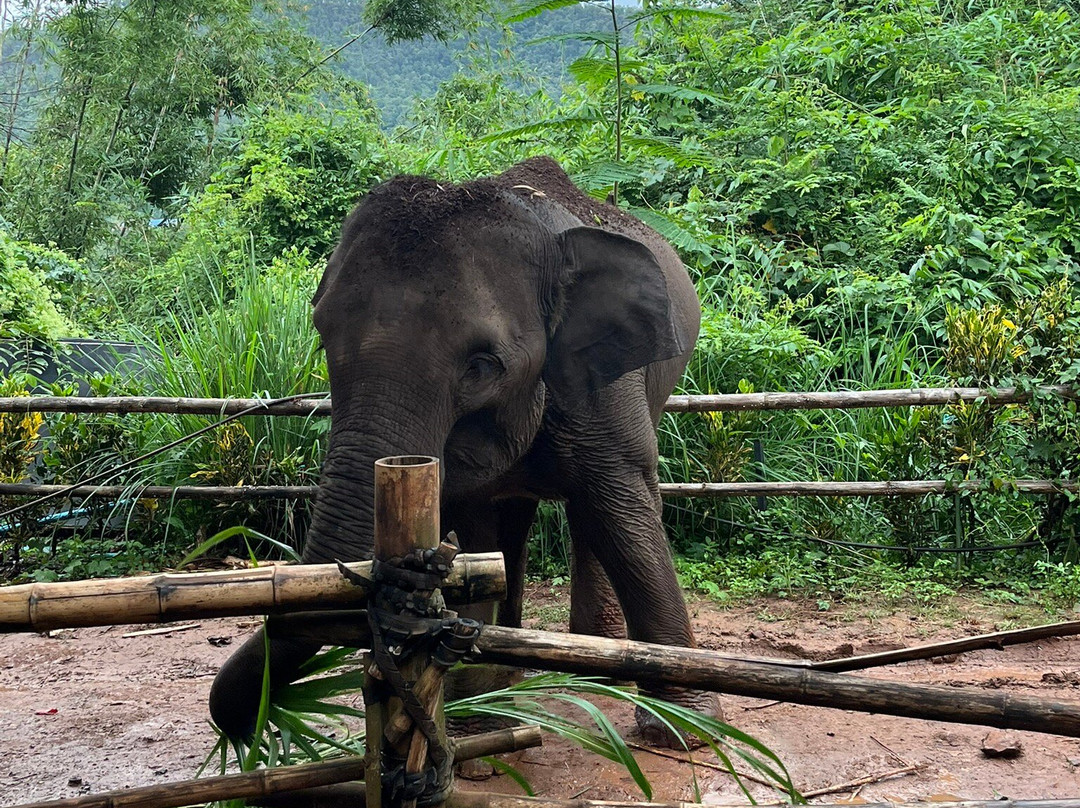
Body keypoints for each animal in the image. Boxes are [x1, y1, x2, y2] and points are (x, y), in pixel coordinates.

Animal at [209, 155, 717, 748]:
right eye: (320, 332)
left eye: (481, 366)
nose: (246, 727)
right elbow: (473, 533)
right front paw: (476, 708)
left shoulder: (603, 384)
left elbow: (624, 511)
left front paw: (685, 728)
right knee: (510, 524)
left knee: (590, 514)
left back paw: (596, 670)